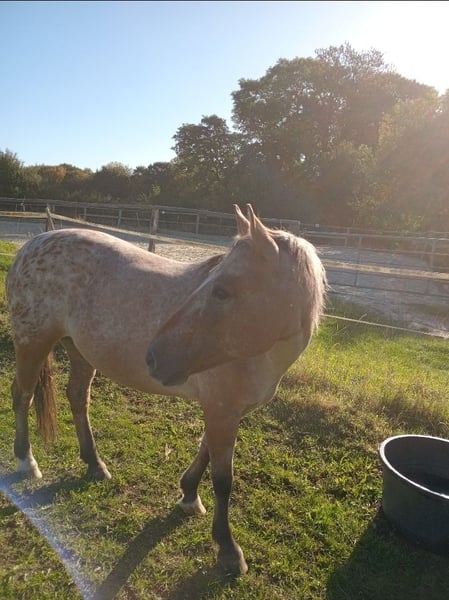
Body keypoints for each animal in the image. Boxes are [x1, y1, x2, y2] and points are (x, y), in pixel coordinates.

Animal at [6, 204, 325, 576]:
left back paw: (95, 465)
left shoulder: (227, 411)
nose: (153, 357)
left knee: (77, 397)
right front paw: (228, 549)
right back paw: (27, 461)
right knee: (22, 395)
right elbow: (223, 479)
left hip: (79, 350)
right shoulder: (221, 410)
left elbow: (204, 451)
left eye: (222, 291)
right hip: (32, 342)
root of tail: (32, 244)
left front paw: (188, 495)